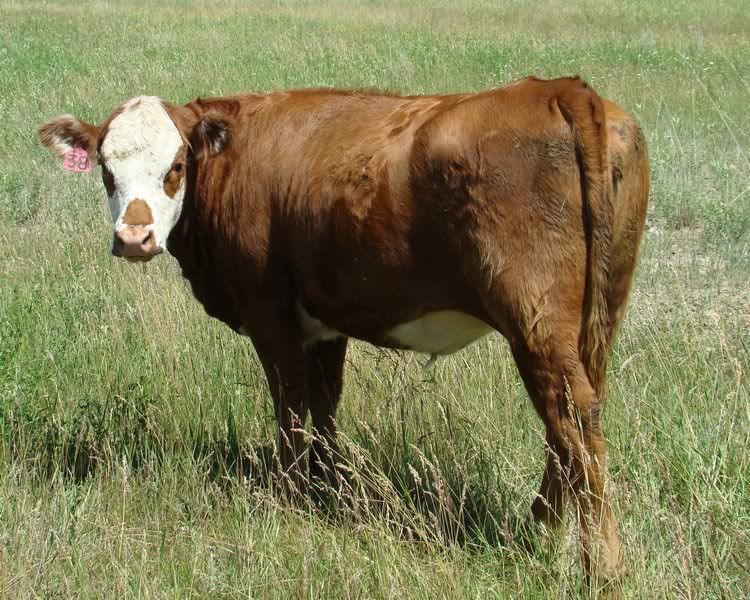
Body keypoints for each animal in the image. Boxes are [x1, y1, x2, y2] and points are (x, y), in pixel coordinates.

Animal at [39, 76, 649, 584]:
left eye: (176, 166)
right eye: (106, 170)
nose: (133, 238)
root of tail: (559, 88)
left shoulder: (272, 318)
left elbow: (289, 409)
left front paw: (289, 497)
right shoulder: (325, 324)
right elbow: (326, 404)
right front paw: (331, 487)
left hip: (534, 320)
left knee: (572, 416)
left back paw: (598, 564)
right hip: (598, 315)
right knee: (576, 417)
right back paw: (540, 527)